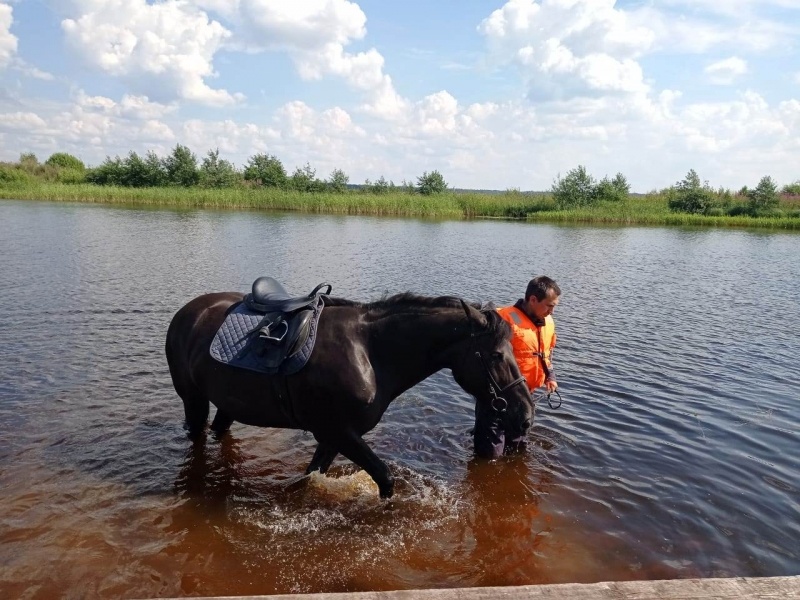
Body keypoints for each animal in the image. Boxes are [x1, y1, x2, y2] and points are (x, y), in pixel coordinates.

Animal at [166, 292, 536, 496]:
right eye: (496, 355)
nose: (526, 414)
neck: (371, 352)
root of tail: (189, 311)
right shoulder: (339, 432)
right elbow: (385, 480)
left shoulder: (333, 436)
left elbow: (312, 475)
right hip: (193, 400)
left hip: (227, 404)